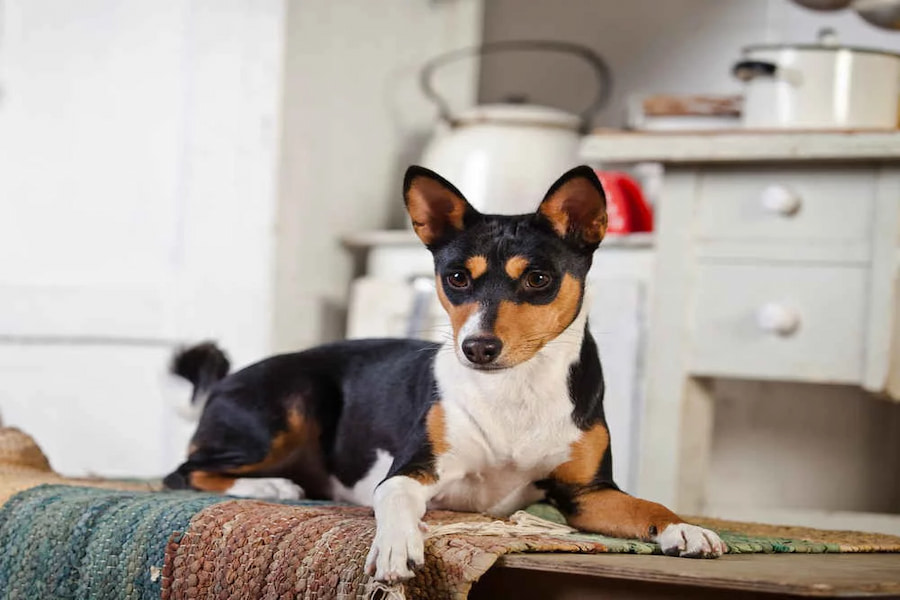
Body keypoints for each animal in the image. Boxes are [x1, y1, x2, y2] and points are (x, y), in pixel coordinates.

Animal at [163, 164, 724, 580]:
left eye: (538, 279)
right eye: (456, 278)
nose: (478, 347)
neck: (515, 388)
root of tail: (224, 382)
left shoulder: (588, 495)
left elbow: (649, 507)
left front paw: (684, 529)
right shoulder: (412, 471)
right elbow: (394, 503)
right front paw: (396, 548)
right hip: (292, 407)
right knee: (183, 472)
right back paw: (274, 487)